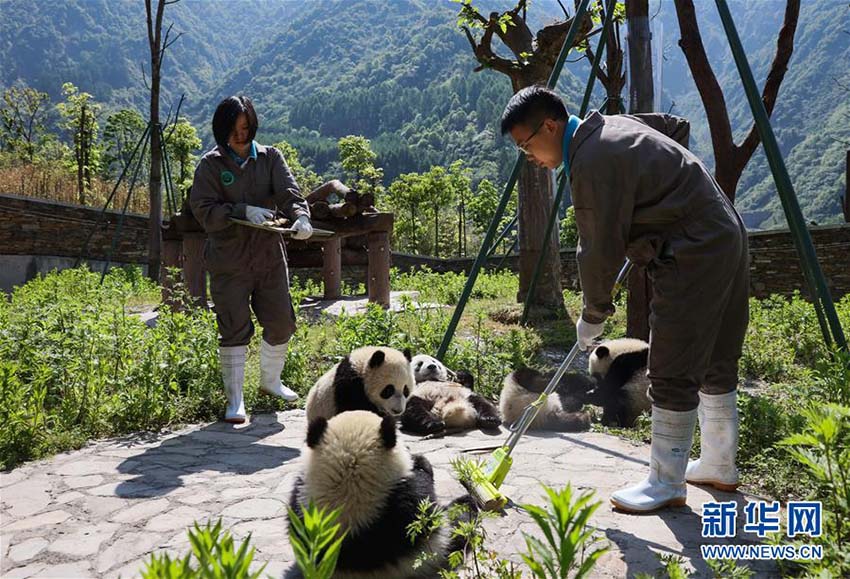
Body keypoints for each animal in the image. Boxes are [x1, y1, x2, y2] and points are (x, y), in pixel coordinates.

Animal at [290, 412, 476, 579]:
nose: (409, 449)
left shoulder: (300, 501)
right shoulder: (409, 504)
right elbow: (426, 506)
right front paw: (421, 463)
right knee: (461, 518)